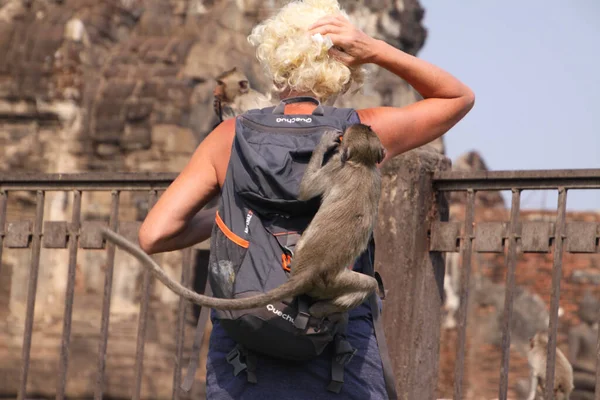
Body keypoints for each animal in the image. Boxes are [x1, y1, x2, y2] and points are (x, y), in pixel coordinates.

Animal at [99, 123, 384, 318]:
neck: (362, 164)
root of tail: (308, 273)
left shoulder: (338, 167)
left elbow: (305, 190)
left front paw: (324, 144)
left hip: (328, 282)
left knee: (367, 284)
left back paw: (318, 311)